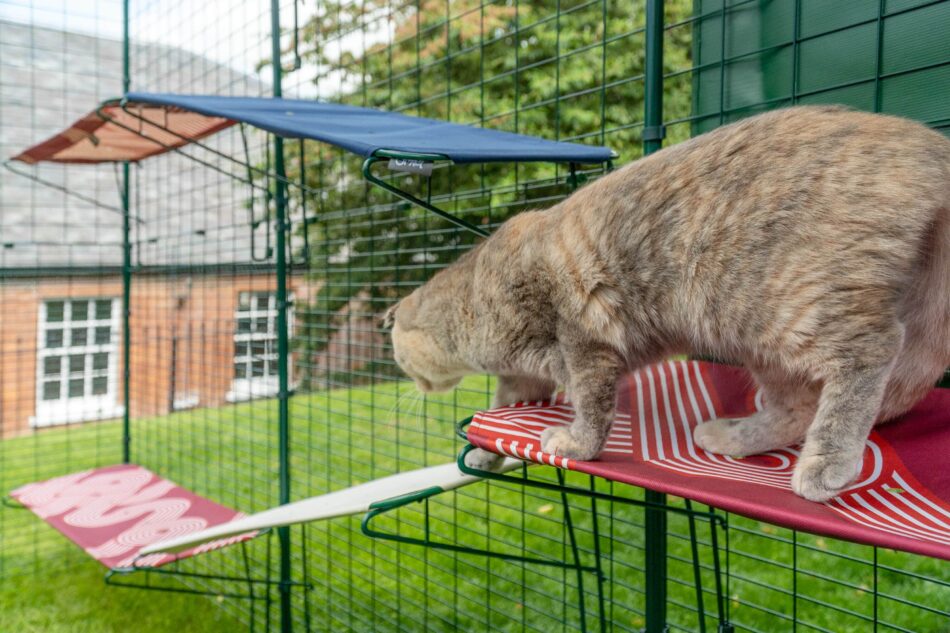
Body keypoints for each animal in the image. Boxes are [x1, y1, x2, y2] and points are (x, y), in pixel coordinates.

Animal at [382, 106, 950, 502]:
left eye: (400, 361)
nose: (413, 388)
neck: (477, 300)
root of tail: (931, 143)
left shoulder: (582, 344)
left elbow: (592, 409)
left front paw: (575, 446)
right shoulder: (525, 378)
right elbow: (502, 412)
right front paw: (483, 453)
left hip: (787, 307)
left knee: (872, 354)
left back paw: (827, 462)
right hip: (759, 341)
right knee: (799, 406)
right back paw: (735, 437)